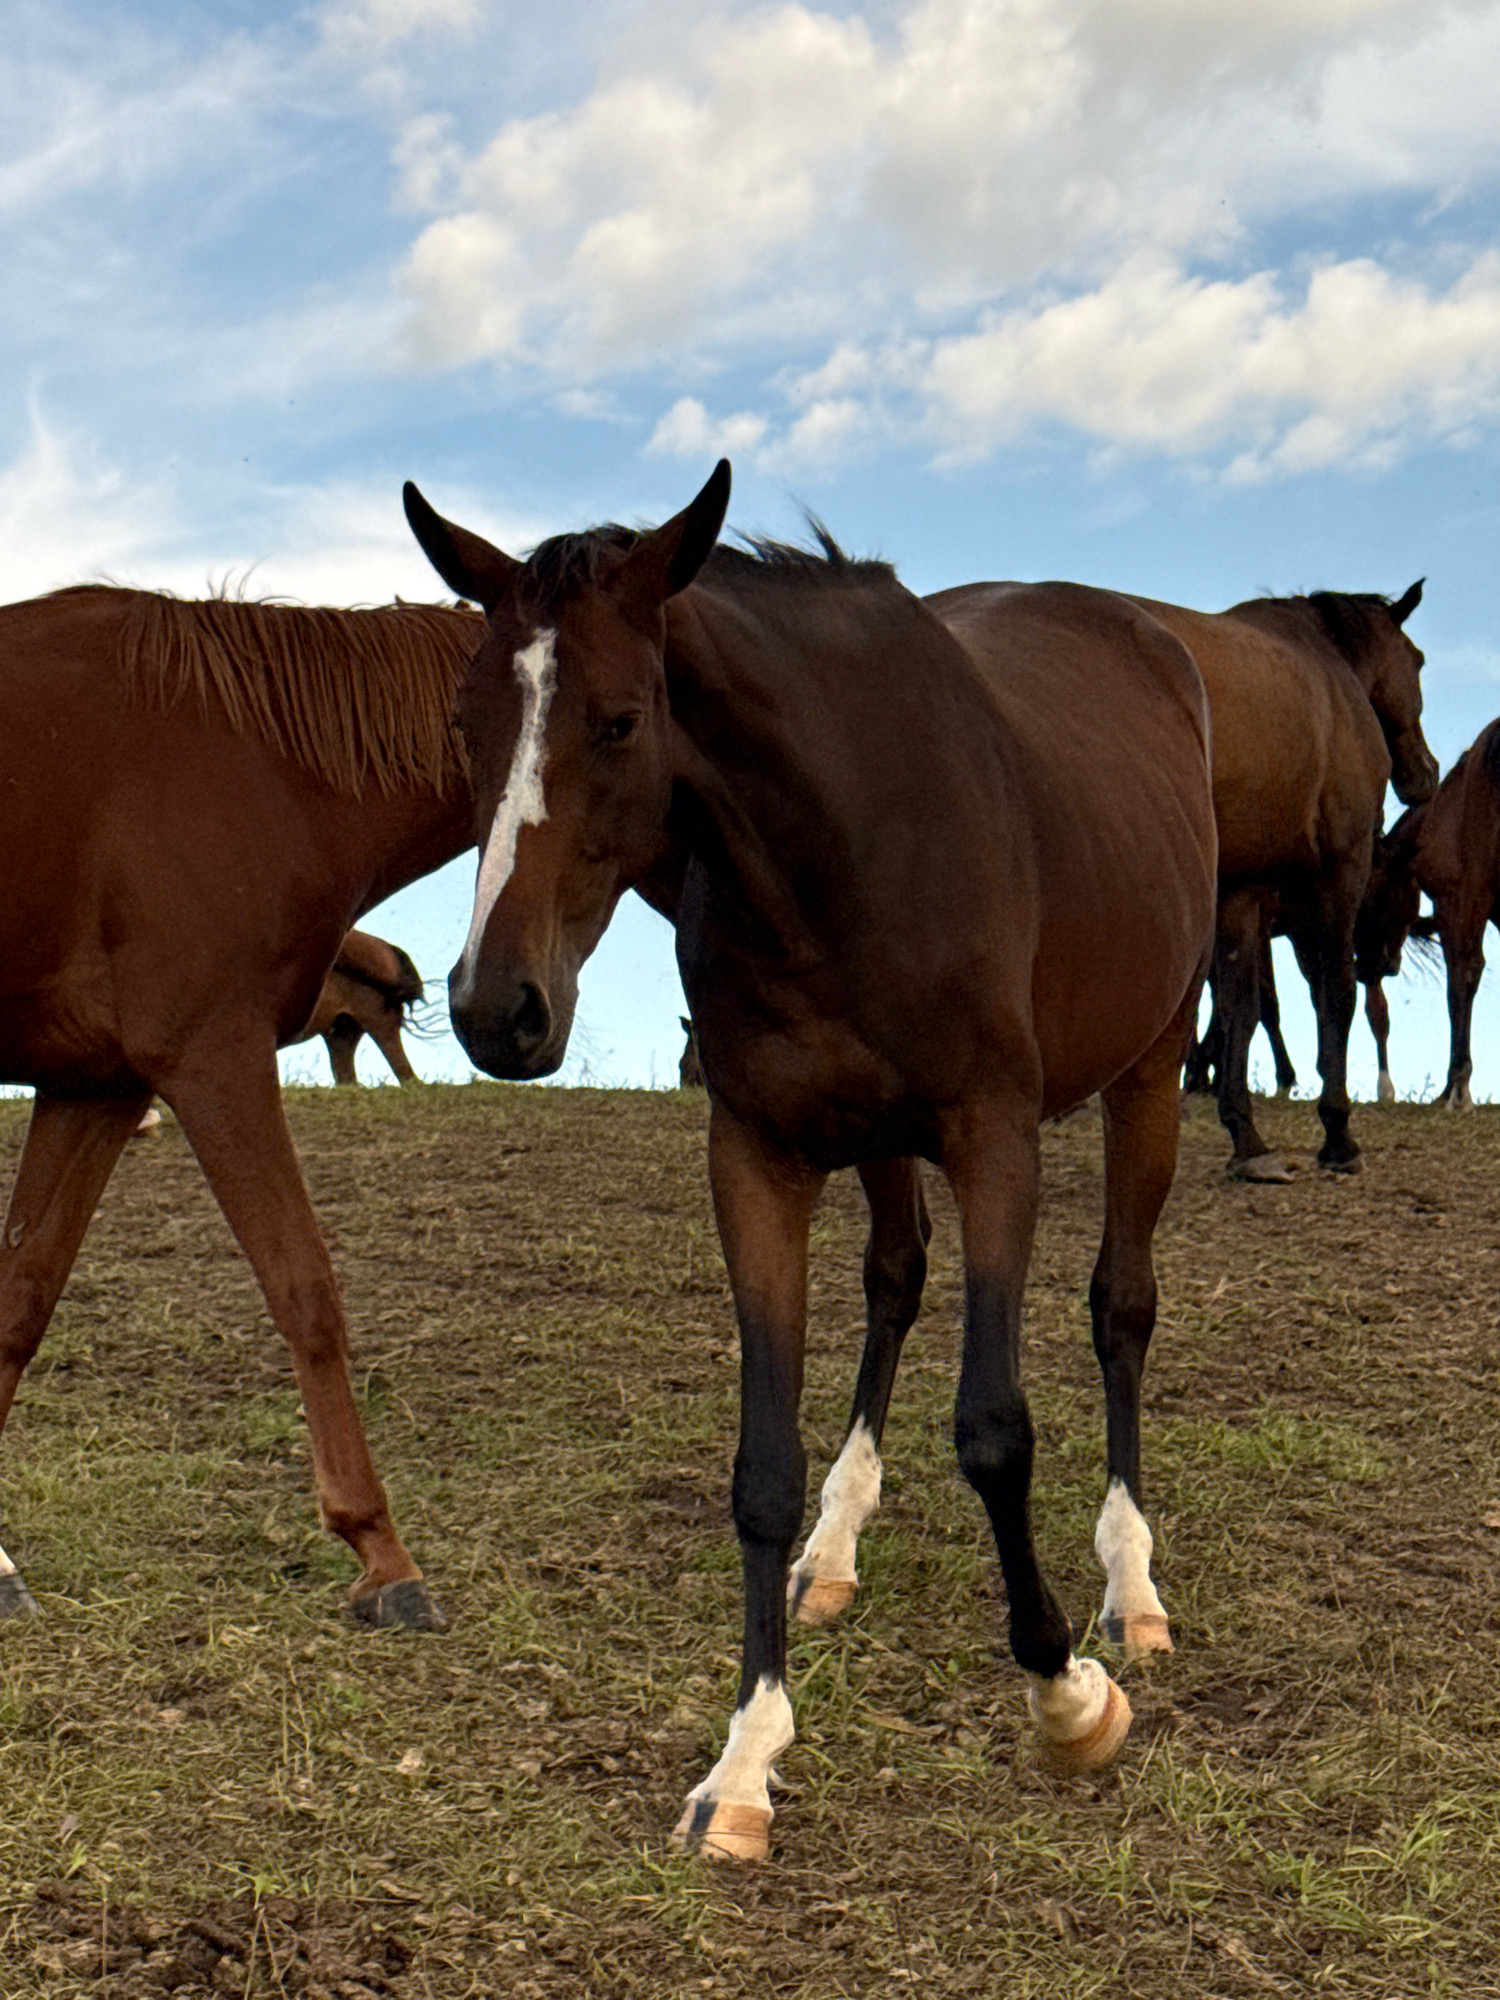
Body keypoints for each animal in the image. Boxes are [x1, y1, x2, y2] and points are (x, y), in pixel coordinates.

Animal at [402, 462, 1218, 1862]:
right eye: (468, 723)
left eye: (620, 721)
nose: (494, 1007)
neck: (841, 840)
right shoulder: (759, 1154)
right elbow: (762, 1468)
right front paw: (745, 1755)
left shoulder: (995, 1136)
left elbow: (995, 1428)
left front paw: (1065, 1693)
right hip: (877, 1137)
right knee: (896, 1277)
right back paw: (838, 1548)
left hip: (1150, 1072)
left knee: (1121, 1306)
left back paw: (1129, 1580)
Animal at [1127, 586, 1437, 1180]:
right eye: (1418, 661)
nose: (1426, 775)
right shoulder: (1337, 875)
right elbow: (1333, 994)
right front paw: (1337, 1132)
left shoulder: (1242, 891)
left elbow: (1242, 1006)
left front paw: (1244, 1133)